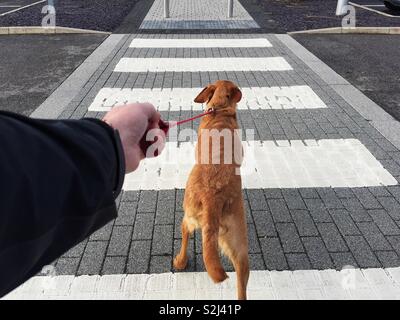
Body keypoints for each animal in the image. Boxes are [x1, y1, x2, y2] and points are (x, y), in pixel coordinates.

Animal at [173, 80, 248, 300]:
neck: (220, 110)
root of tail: (212, 197)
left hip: (188, 214)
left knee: (185, 233)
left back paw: (180, 261)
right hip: (240, 244)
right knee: (242, 285)